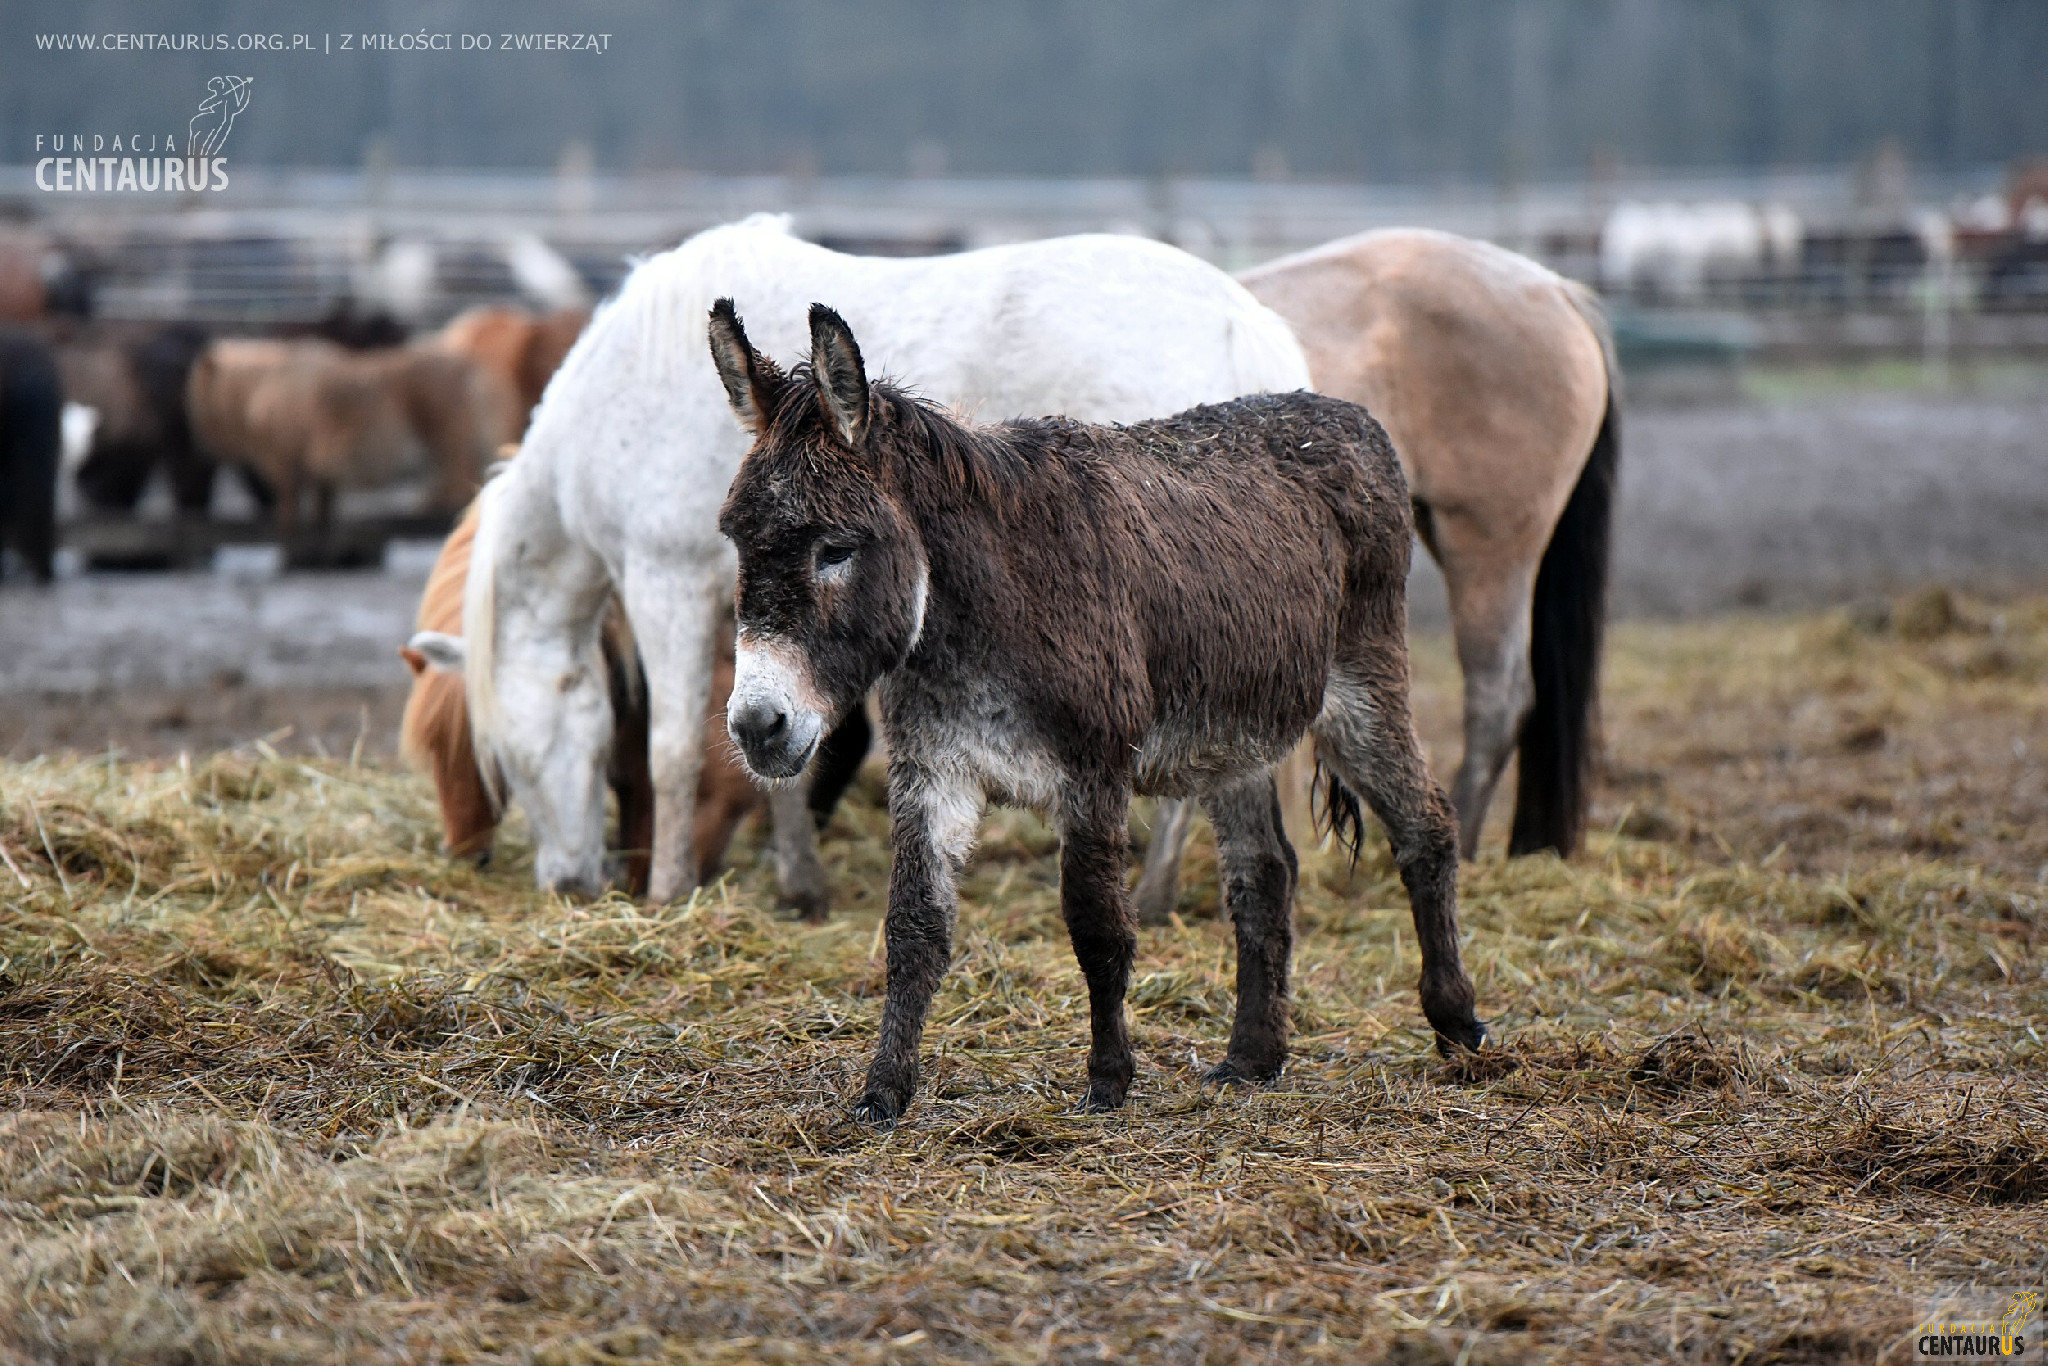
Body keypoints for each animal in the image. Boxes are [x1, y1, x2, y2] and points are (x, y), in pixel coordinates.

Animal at [415, 216, 1310, 909]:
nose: (565, 883)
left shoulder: (664, 582)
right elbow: (769, 737)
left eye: (509, 761)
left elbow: (672, 751)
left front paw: (667, 893)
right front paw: (799, 884)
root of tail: (1247, 324)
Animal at [712, 305, 1482, 1130]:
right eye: (736, 541)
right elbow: (914, 926)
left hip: (1360, 689)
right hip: (1232, 736)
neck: (978, 612)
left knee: (1425, 825)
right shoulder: (935, 769)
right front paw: (884, 1091)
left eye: (836, 548)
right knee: (1264, 873)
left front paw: (1108, 1081)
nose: (757, 727)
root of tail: (1342, 410)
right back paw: (1252, 1058)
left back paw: (1457, 1025)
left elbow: (1096, 923)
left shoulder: (1094, 771)